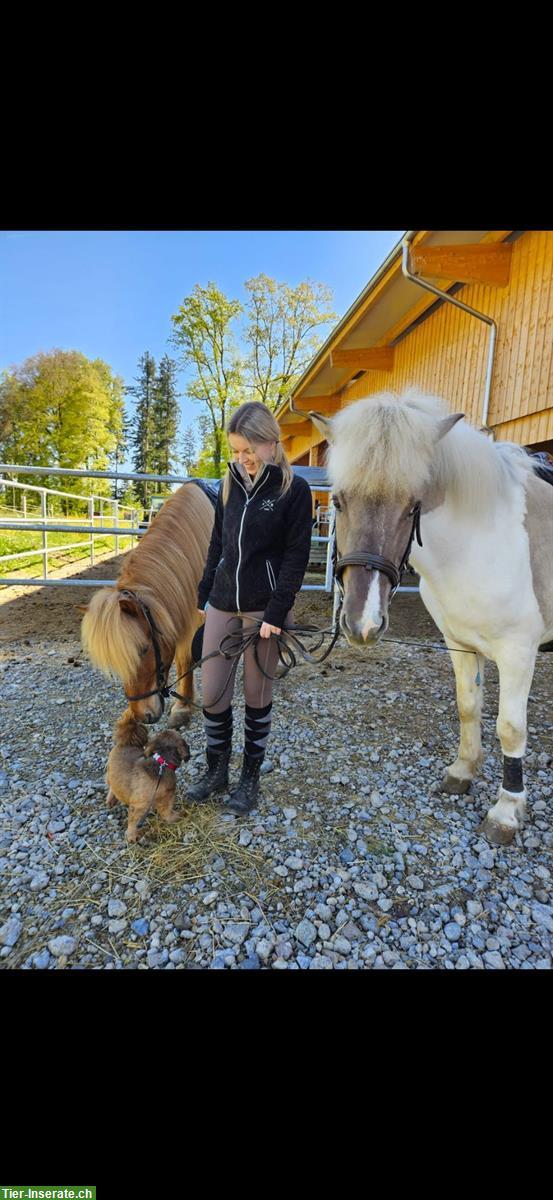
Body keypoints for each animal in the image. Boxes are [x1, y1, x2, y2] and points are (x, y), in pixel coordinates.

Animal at [106, 710, 190, 844]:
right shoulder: (140, 805)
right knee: (110, 786)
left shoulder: (165, 798)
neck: (162, 763)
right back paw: (110, 799)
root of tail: (126, 742)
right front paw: (131, 836)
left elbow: (166, 811)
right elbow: (133, 822)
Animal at [309, 391, 551, 844]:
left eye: (412, 508)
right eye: (338, 500)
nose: (362, 623)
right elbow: (468, 706)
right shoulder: (460, 643)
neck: (481, 542)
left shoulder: (518, 652)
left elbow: (510, 728)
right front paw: (462, 773)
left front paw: (506, 811)